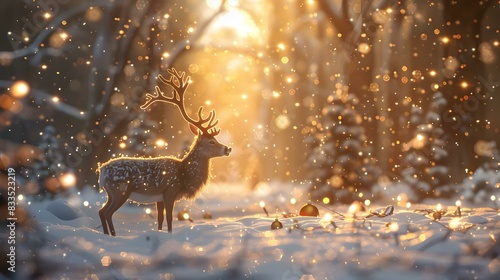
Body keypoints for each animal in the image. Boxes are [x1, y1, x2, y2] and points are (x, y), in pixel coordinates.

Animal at [96, 68, 231, 236]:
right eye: (211, 141)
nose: (228, 148)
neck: (184, 175)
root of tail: (101, 171)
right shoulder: (169, 191)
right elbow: (169, 218)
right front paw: (170, 234)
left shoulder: (159, 198)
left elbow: (159, 219)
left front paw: (159, 232)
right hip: (119, 190)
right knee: (107, 212)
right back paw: (113, 235)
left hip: (111, 192)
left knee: (102, 211)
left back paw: (108, 234)